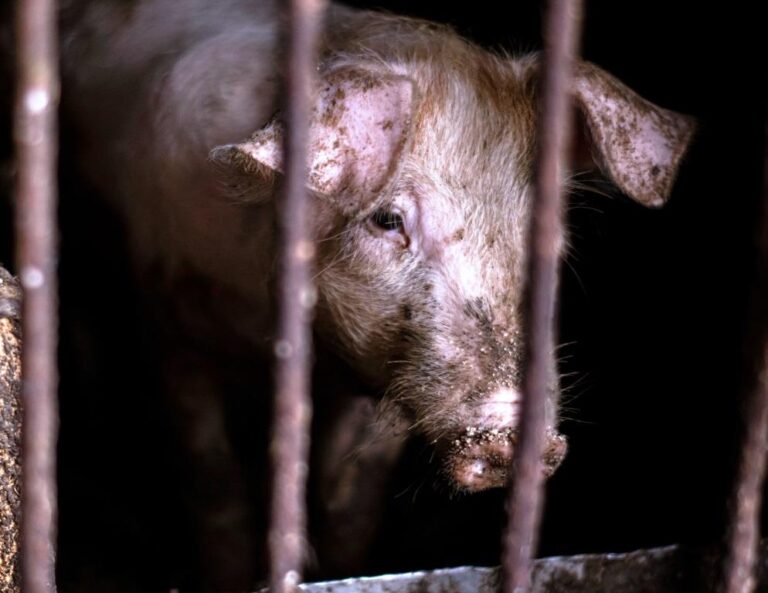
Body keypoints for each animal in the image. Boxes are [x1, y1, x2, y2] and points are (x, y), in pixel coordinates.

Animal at [60, 0, 694, 587]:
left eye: (550, 235)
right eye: (388, 220)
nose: (515, 428)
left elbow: (350, 503)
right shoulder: (168, 319)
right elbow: (213, 483)